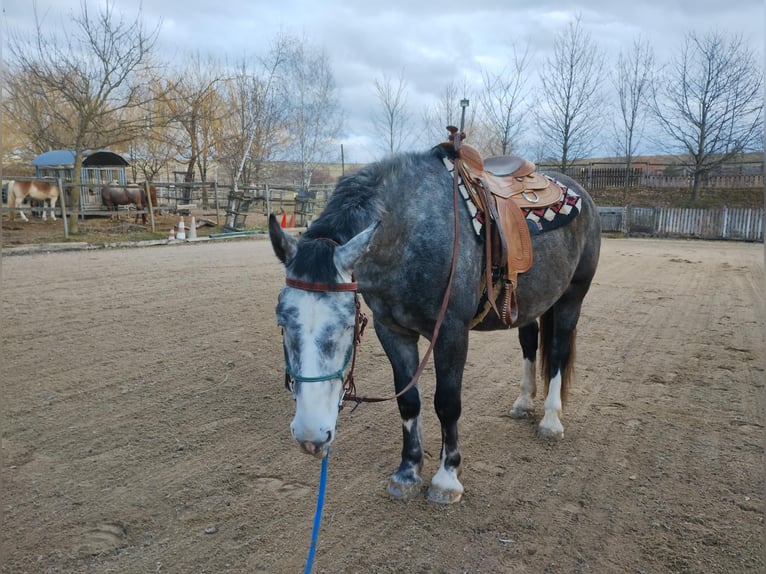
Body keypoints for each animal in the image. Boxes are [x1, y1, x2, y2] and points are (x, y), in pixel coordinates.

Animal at [268, 146, 601, 504]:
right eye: (281, 321)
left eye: (346, 325)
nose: (310, 435)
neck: (409, 233)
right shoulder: (392, 331)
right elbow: (408, 401)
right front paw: (407, 471)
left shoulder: (451, 333)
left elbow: (447, 403)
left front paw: (446, 477)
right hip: (530, 302)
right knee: (530, 343)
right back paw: (524, 403)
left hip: (571, 297)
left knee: (558, 351)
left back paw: (551, 420)